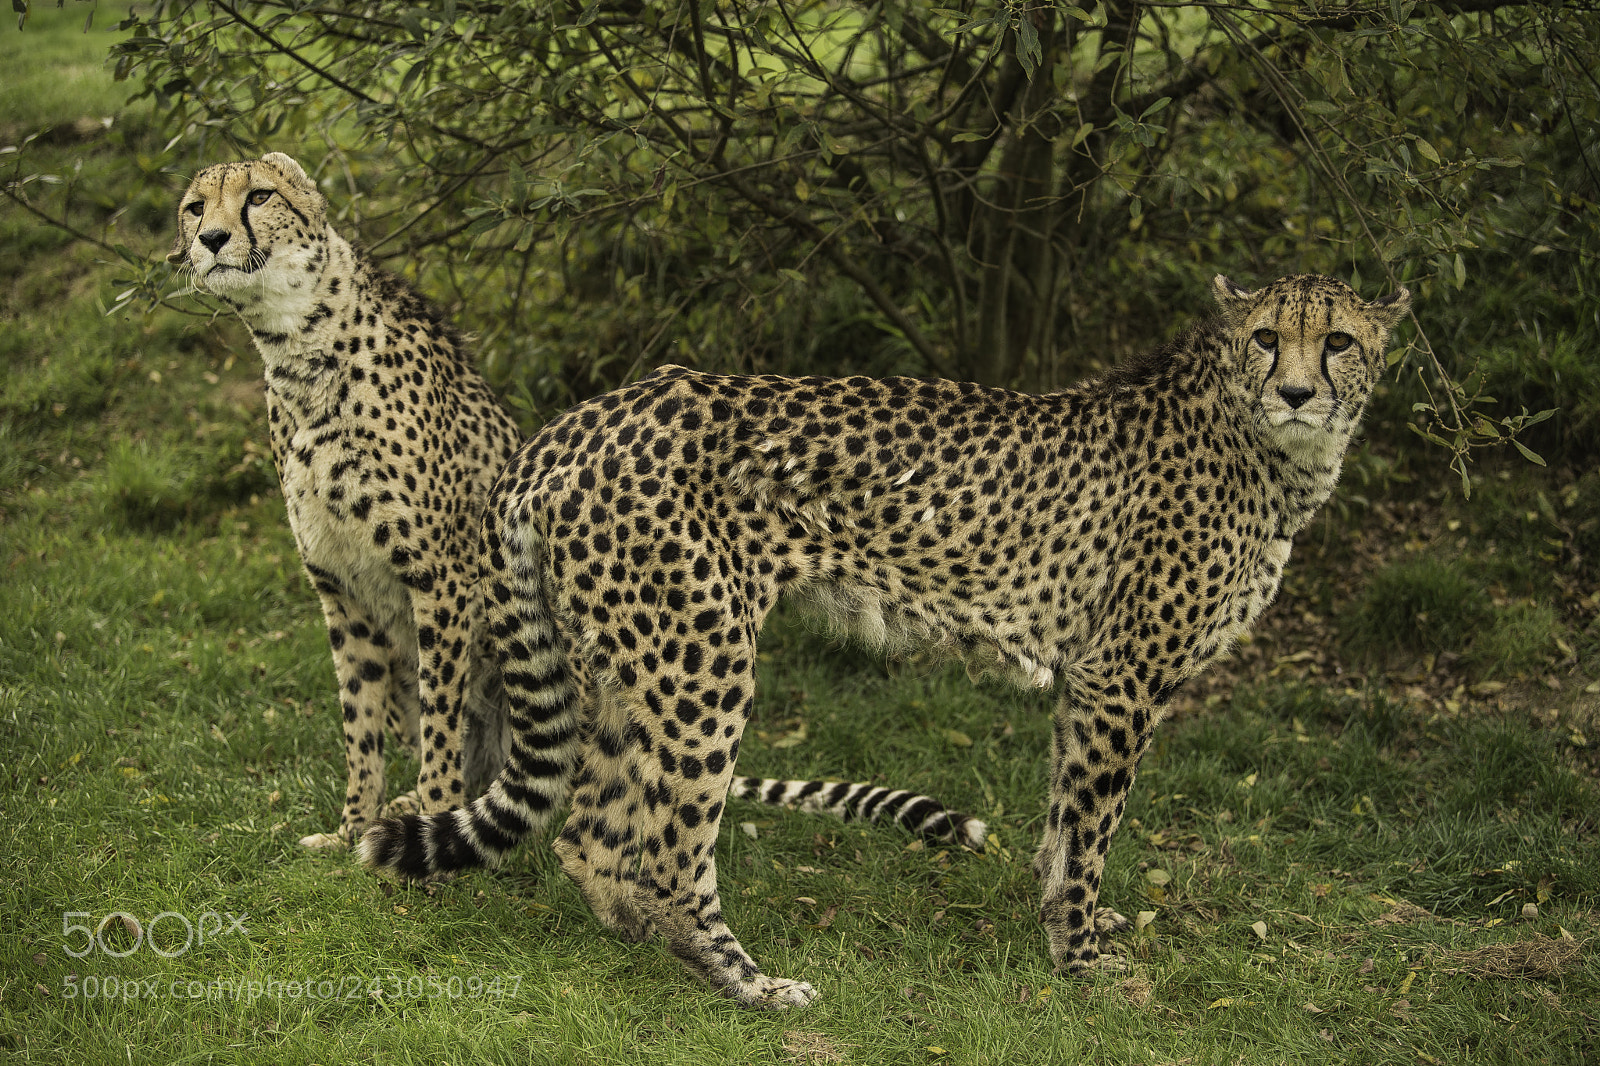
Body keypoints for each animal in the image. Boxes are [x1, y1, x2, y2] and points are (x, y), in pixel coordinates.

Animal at [169, 152, 983, 854]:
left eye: (258, 197)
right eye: (195, 206)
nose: (210, 239)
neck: (297, 350)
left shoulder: (440, 581)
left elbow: (440, 720)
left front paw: (429, 823)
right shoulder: (341, 589)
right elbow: (360, 725)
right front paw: (350, 831)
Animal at [362, 271, 1410, 1008]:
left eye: (1339, 341)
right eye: (1268, 338)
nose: (1300, 392)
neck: (1266, 443)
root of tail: (584, 417)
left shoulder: (1087, 679)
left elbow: (1064, 817)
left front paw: (1061, 915)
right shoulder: (1123, 676)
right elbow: (1094, 825)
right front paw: (1078, 958)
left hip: (632, 659)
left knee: (591, 828)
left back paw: (642, 941)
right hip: (705, 658)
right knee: (665, 850)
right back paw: (748, 985)